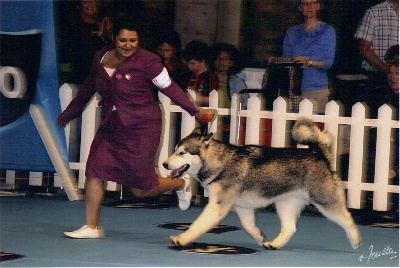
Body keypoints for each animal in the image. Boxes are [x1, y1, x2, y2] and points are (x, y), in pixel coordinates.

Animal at [162, 117, 362, 249]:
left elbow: (197, 225)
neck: (220, 161)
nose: (164, 164)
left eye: (182, 153)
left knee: (348, 218)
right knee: (290, 228)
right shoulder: (243, 207)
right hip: (285, 204)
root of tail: (319, 154)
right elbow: (249, 226)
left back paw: (355, 240)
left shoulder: (217, 206)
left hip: (325, 201)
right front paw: (259, 237)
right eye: (174, 151)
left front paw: (182, 239)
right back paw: (274, 244)